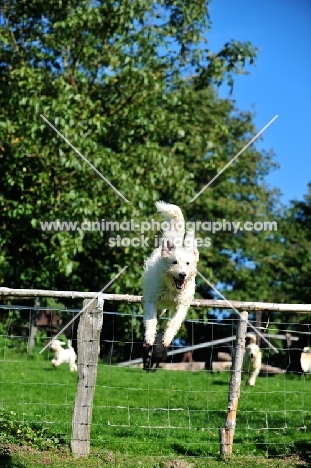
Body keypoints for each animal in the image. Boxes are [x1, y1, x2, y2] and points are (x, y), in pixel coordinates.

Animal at [142, 201, 199, 348]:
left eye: (187, 263)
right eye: (174, 262)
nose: (182, 274)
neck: (171, 289)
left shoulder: (182, 306)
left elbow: (174, 322)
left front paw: (167, 338)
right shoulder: (152, 300)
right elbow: (151, 319)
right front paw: (149, 337)